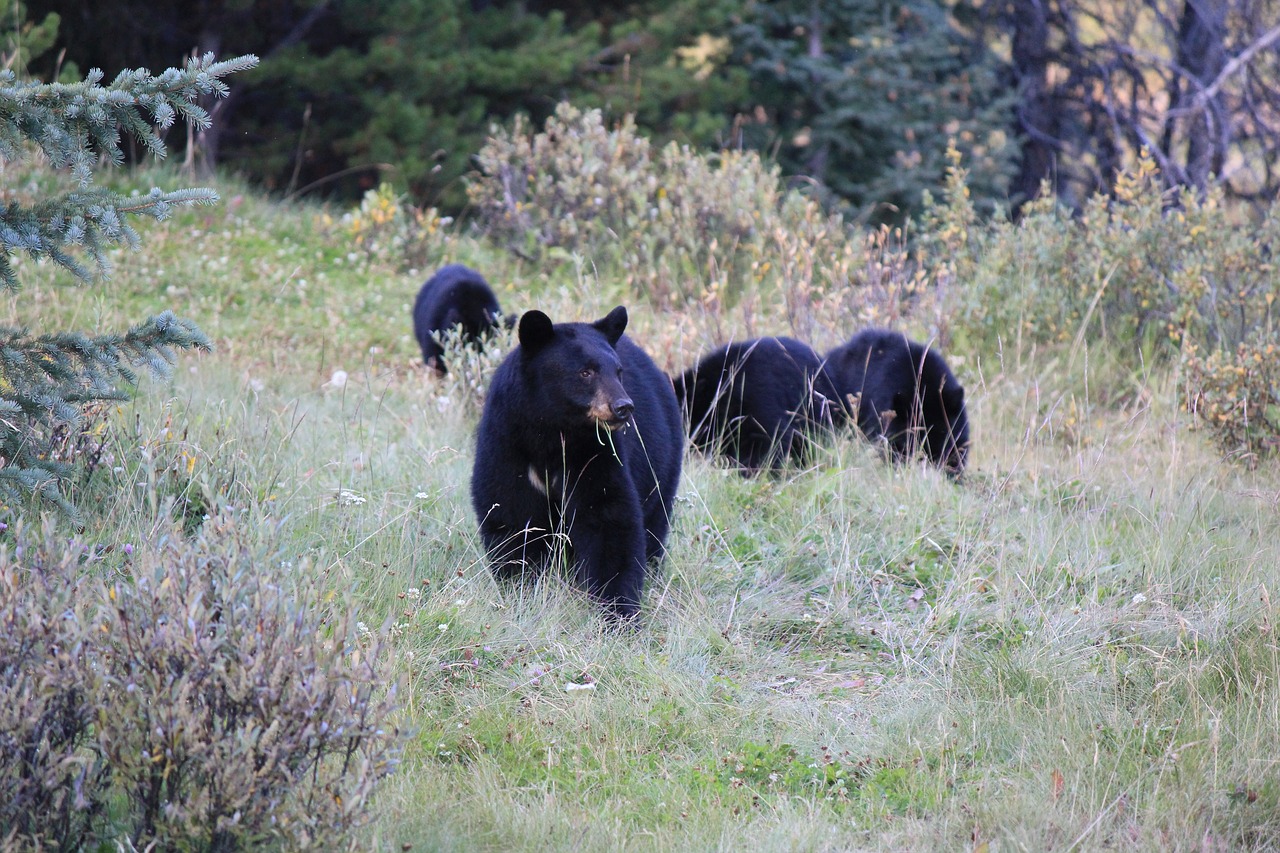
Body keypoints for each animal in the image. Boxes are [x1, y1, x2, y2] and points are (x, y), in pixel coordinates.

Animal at [471, 306, 686, 617]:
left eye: (618, 371)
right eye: (586, 372)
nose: (623, 407)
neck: (551, 433)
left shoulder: (596, 453)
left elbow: (609, 521)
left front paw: (618, 610)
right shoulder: (506, 444)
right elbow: (512, 515)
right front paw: (523, 589)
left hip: (662, 463)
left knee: (655, 523)